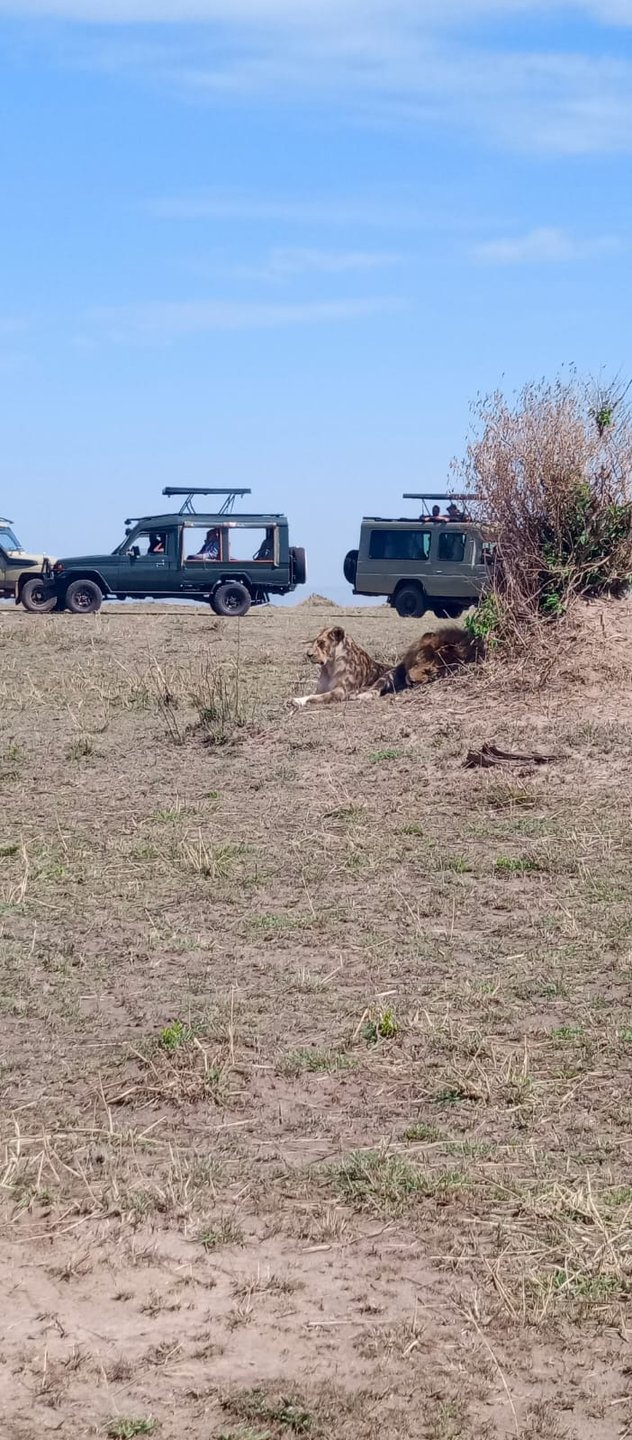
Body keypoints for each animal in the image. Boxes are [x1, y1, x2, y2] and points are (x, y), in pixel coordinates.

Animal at [292, 624, 480, 707]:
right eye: (315, 641)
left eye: (322, 643)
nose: (308, 654)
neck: (330, 667)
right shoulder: (323, 688)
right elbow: (315, 693)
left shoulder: (341, 691)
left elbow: (314, 697)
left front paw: (298, 700)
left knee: (373, 692)